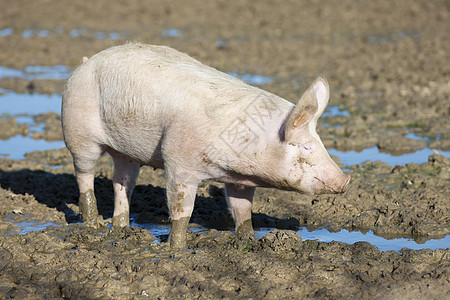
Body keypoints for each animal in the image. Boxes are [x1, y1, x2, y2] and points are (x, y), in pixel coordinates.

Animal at [62, 42, 352, 248]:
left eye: (320, 141)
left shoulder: (239, 181)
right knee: (84, 175)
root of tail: (86, 62)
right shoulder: (178, 164)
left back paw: (121, 229)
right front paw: (176, 248)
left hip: (126, 153)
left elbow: (242, 210)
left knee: (122, 182)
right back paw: (93, 226)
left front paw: (250, 241)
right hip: (78, 133)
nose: (345, 180)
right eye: (306, 147)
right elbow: (182, 211)